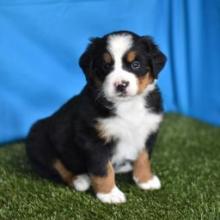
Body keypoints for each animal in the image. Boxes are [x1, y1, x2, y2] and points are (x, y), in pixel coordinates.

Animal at [25, 30, 167, 204]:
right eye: (106, 66)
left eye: (136, 65)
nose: (121, 85)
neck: (127, 106)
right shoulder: (92, 139)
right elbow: (103, 169)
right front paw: (109, 194)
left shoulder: (148, 130)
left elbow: (144, 157)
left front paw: (145, 180)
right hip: (39, 140)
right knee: (56, 166)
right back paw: (79, 180)